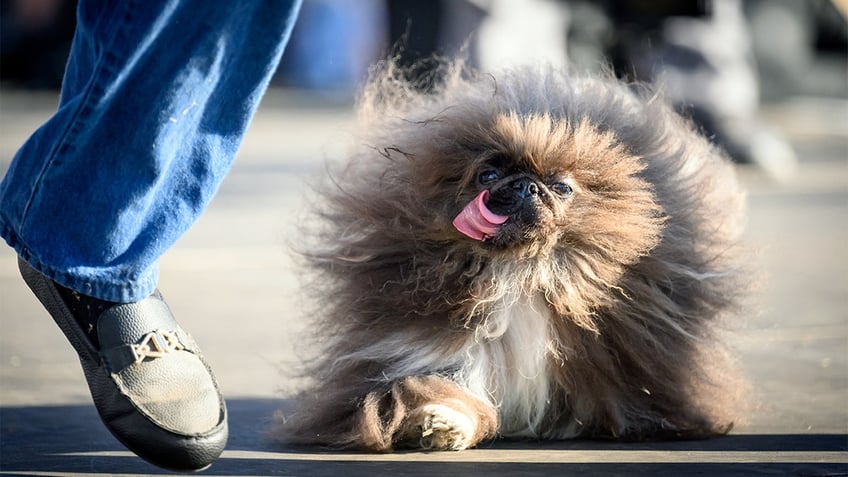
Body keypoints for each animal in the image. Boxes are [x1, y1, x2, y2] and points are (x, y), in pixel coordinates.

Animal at [280, 59, 748, 450]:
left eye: (561, 187)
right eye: (487, 175)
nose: (526, 185)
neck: (522, 272)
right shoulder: (434, 351)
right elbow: (445, 391)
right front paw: (439, 424)